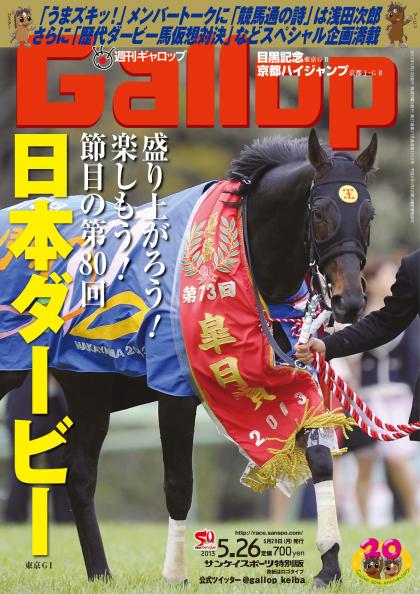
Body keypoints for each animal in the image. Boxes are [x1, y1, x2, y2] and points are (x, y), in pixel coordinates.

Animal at [0, 129, 377, 587]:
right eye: (320, 212)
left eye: (368, 214)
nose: (350, 301)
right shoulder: (174, 391)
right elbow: (179, 483)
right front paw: (176, 573)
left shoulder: (293, 371)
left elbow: (320, 458)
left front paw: (330, 563)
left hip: (88, 385)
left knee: (80, 473)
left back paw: (100, 573)